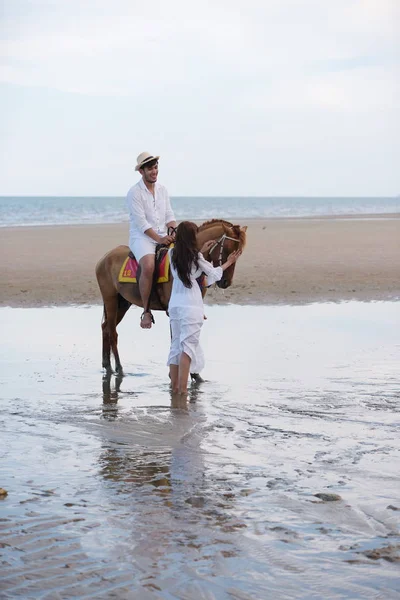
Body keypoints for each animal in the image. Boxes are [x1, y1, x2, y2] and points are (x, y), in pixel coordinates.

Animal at [96, 218, 247, 372]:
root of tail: (105, 257)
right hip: (111, 300)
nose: (225, 282)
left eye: (239, 252)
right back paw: (118, 367)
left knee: (106, 327)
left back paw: (106, 364)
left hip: (123, 302)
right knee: (112, 331)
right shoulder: (174, 310)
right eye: (227, 249)